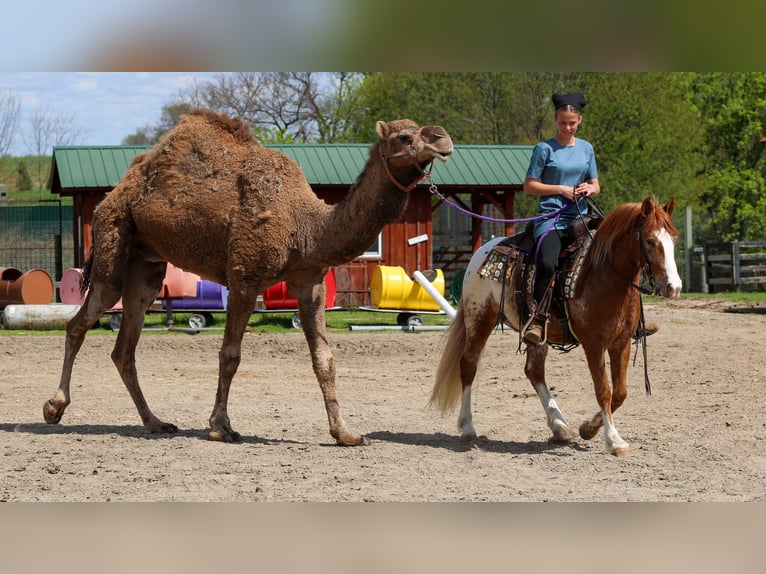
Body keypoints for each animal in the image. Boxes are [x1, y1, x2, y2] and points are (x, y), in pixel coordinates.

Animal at [429, 196, 682, 456]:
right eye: (650, 240)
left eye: (674, 239)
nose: (674, 287)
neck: (605, 276)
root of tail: (482, 252)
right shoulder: (593, 344)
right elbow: (603, 390)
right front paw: (614, 440)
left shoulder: (621, 343)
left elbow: (620, 393)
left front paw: (588, 429)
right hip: (479, 318)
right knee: (469, 364)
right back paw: (468, 427)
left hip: (535, 334)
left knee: (534, 371)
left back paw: (560, 426)